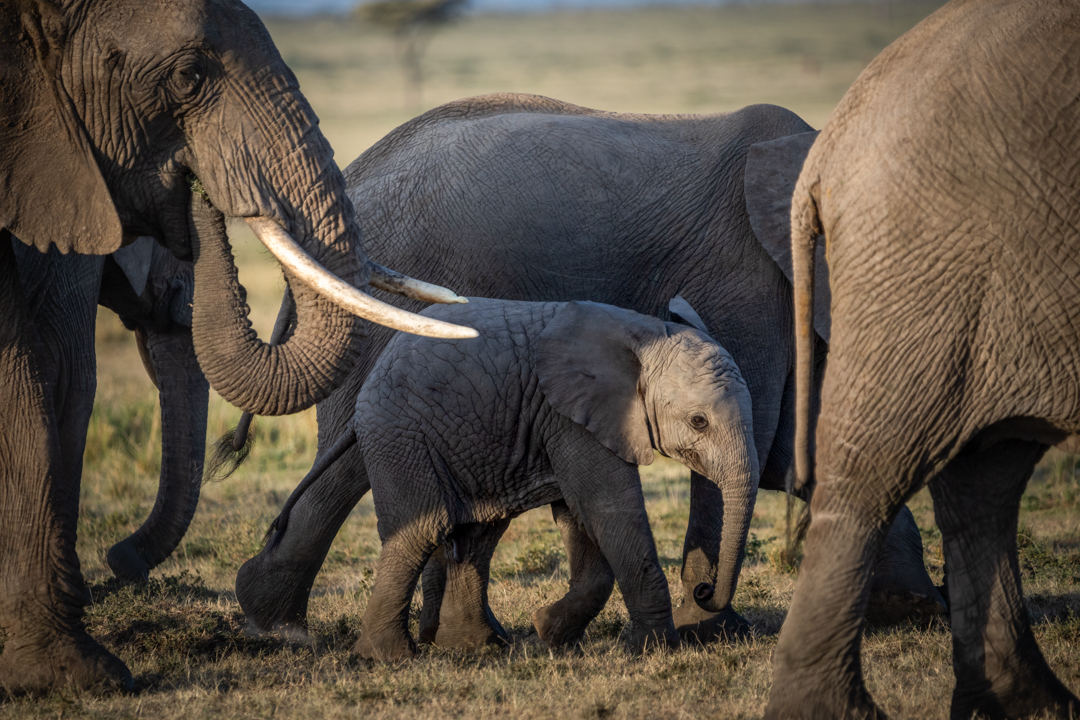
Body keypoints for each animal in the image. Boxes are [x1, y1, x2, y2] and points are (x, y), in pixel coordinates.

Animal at [268, 297, 760, 660]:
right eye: (699, 422)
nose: (703, 590)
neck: (646, 333)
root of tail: (366, 388)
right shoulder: (573, 418)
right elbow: (607, 507)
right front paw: (654, 650)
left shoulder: (567, 417)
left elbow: (580, 515)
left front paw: (549, 632)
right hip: (400, 435)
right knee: (423, 530)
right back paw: (388, 657)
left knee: (476, 533)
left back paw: (476, 647)